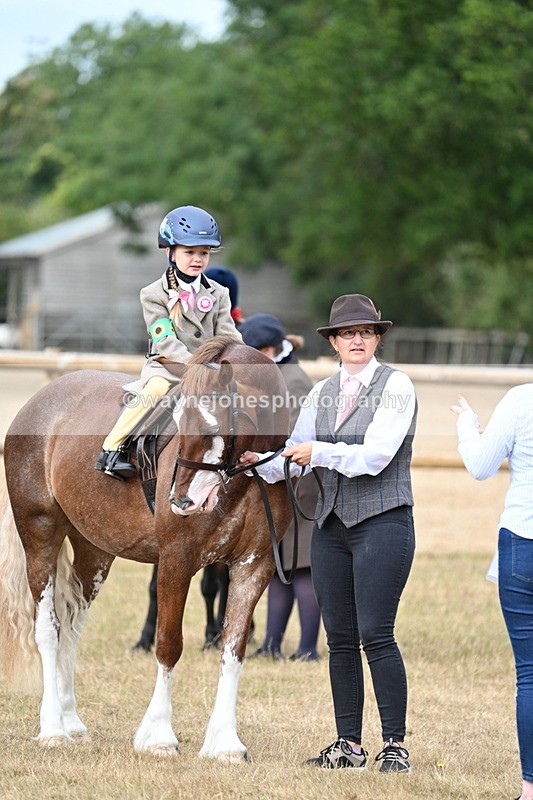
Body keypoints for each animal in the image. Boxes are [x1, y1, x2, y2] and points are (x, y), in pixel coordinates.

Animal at [0, 334, 292, 761]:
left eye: (215, 425)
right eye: (179, 423)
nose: (181, 502)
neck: (243, 480)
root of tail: (39, 402)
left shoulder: (254, 567)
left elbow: (233, 650)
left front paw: (225, 742)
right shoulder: (176, 561)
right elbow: (168, 645)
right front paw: (158, 735)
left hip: (94, 552)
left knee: (71, 626)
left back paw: (71, 722)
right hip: (40, 537)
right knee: (49, 630)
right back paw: (53, 727)